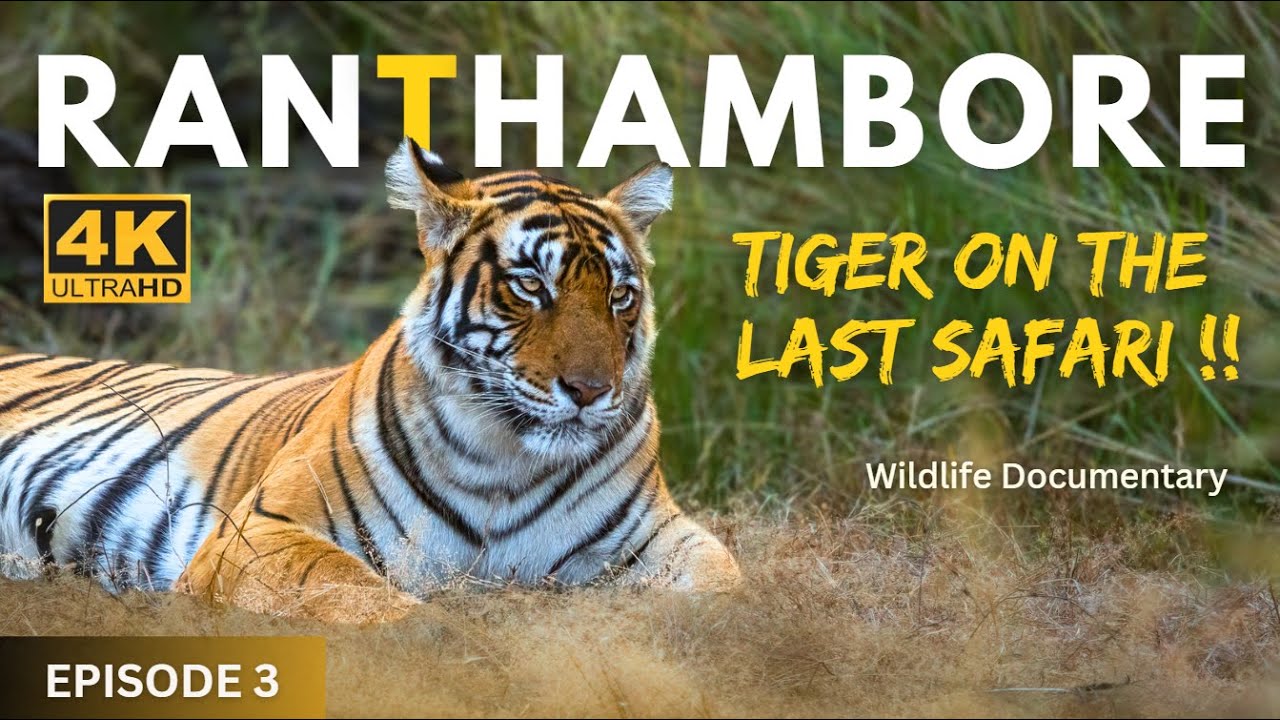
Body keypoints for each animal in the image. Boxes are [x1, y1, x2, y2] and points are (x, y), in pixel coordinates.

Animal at [0, 139, 740, 622]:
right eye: (531, 286)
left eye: (619, 296)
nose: (590, 392)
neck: (506, 462)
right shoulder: (262, 530)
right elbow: (355, 593)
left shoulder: (654, 534)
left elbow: (726, 584)